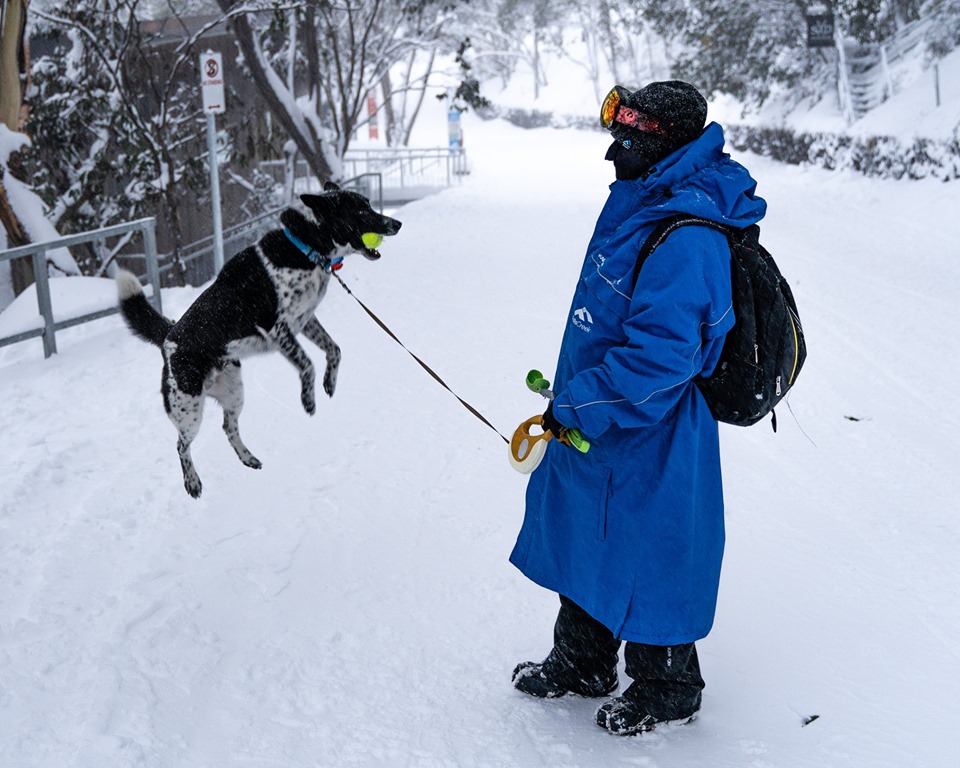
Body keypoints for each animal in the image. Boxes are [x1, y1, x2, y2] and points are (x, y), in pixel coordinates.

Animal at [117, 184, 402, 500]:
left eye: (369, 205)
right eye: (361, 210)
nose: (397, 224)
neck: (306, 246)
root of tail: (168, 337)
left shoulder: (304, 321)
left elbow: (334, 349)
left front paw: (329, 383)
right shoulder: (277, 328)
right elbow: (308, 364)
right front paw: (308, 400)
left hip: (234, 393)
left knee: (228, 426)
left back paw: (248, 458)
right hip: (188, 409)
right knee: (181, 446)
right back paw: (192, 482)